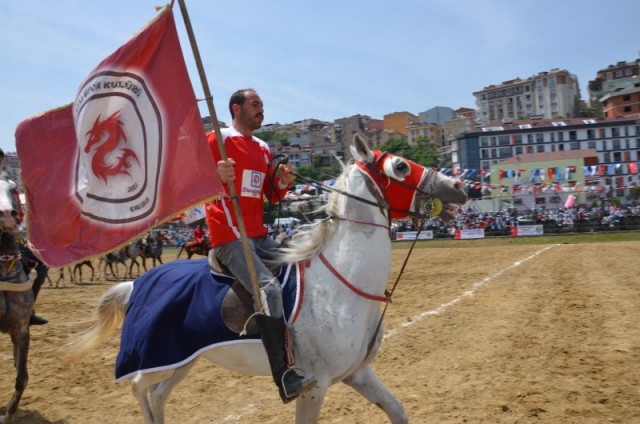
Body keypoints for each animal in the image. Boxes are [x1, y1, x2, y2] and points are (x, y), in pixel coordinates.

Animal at [63, 137, 464, 424]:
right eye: (400, 166)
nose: (459, 185)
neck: (341, 285)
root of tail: (136, 284)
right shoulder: (313, 389)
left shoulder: (359, 373)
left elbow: (398, 412)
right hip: (154, 359)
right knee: (137, 388)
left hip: (181, 358)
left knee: (158, 394)